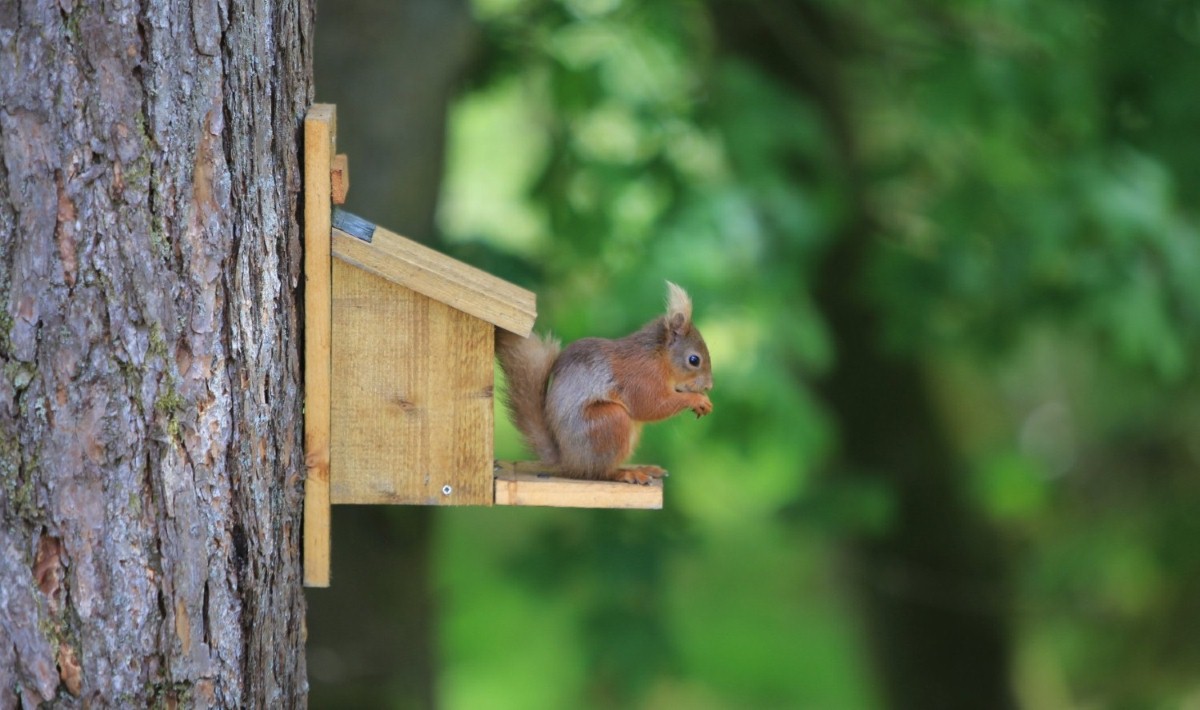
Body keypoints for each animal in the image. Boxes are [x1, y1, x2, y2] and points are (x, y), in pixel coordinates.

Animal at [496, 280, 710, 484]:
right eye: (694, 360)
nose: (709, 386)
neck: (658, 357)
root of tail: (569, 461)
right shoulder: (640, 378)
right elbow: (650, 405)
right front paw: (698, 400)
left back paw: (642, 469)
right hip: (609, 422)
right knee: (599, 473)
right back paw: (626, 474)